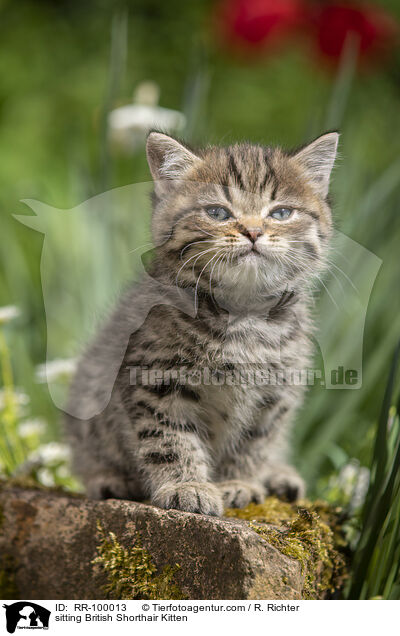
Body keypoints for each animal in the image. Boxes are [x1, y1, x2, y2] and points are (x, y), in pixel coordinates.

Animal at [65, 130, 338, 516]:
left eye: (282, 213)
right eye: (217, 212)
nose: (253, 231)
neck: (244, 315)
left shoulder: (276, 392)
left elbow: (254, 442)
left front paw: (239, 483)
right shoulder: (154, 378)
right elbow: (169, 437)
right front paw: (187, 485)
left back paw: (279, 476)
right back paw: (108, 478)